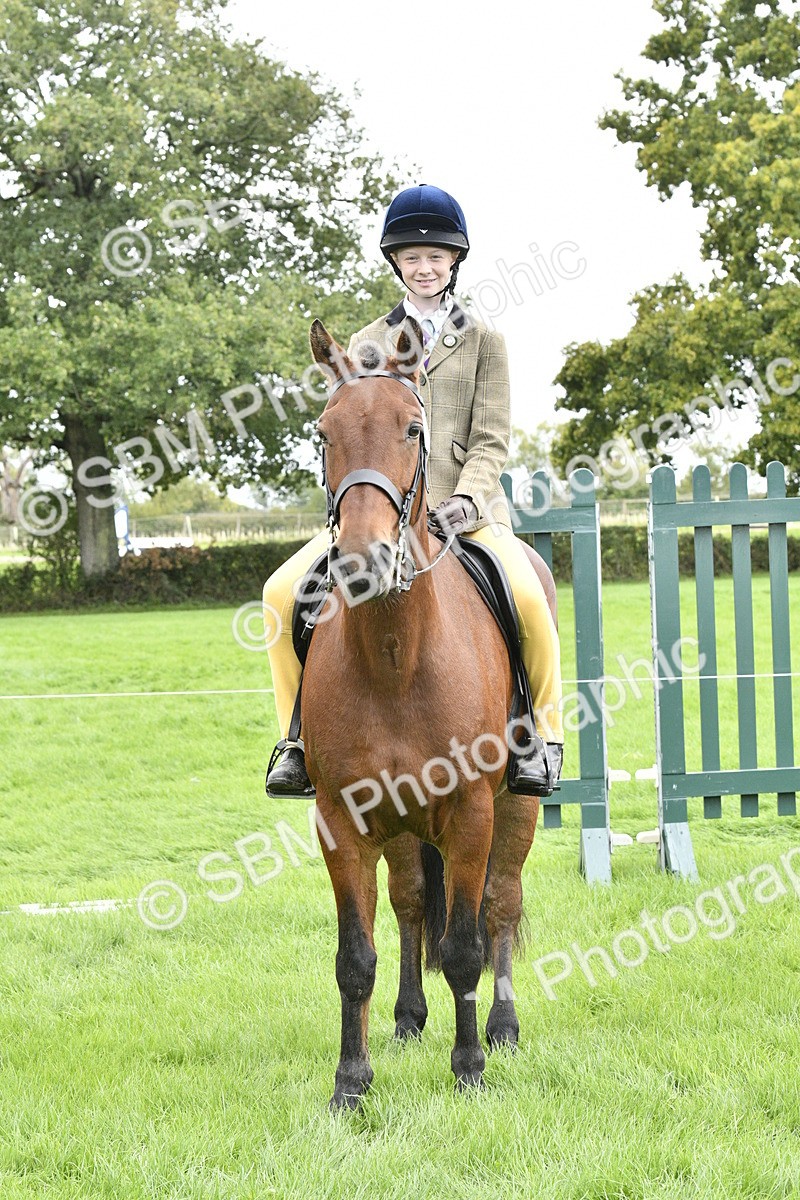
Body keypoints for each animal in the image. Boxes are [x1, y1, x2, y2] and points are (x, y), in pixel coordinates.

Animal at [302, 317, 546, 1110]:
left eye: (413, 429)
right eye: (324, 433)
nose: (361, 562)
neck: (395, 654)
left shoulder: (471, 812)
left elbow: (466, 946)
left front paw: (468, 1067)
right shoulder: (342, 820)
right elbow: (355, 955)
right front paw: (351, 1084)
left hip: (515, 809)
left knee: (500, 905)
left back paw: (501, 1027)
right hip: (403, 827)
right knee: (410, 903)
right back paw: (409, 1018)